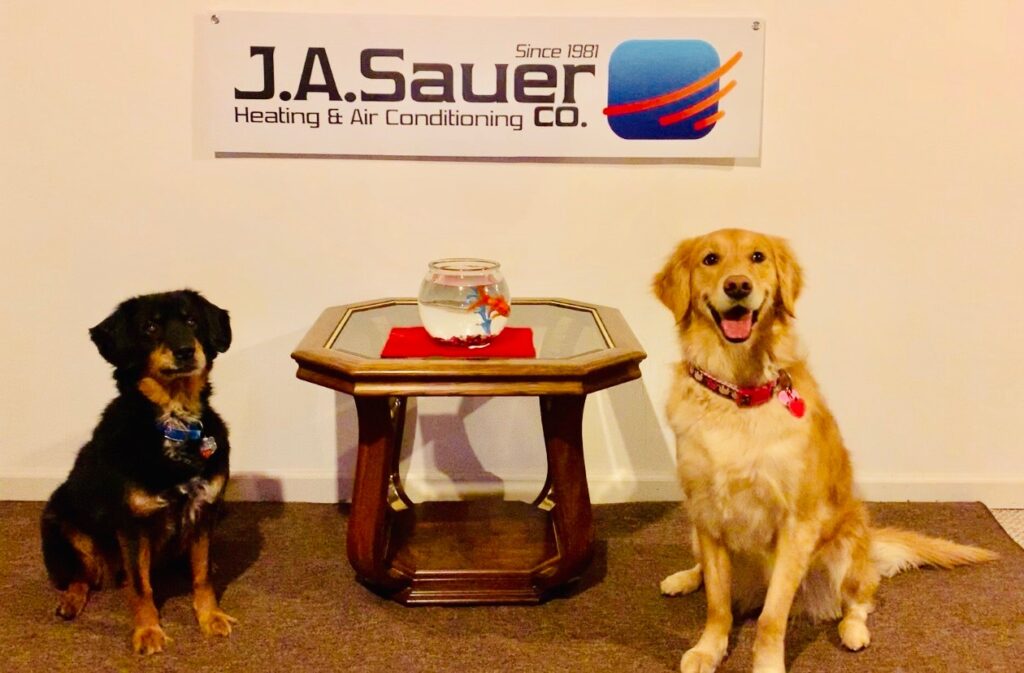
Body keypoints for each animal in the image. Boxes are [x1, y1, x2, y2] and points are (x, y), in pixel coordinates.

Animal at [41, 289, 236, 655]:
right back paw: (71, 602)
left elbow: (202, 575)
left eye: (191, 321)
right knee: (81, 576)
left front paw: (211, 617)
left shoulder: (204, 511)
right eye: (150, 327)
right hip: (59, 522)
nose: (186, 350)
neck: (175, 424)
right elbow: (141, 587)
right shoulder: (133, 524)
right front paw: (148, 632)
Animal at [652, 229, 996, 673]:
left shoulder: (797, 525)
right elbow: (718, 603)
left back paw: (854, 630)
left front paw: (766, 666)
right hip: (696, 531)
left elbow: (771, 618)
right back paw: (683, 578)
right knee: (708, 576)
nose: (738, 286)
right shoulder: (707, 517)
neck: (739, 394)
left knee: (861, 598)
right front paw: (708, 648)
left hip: (847, 551)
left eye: (757, 257)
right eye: (710, 259)